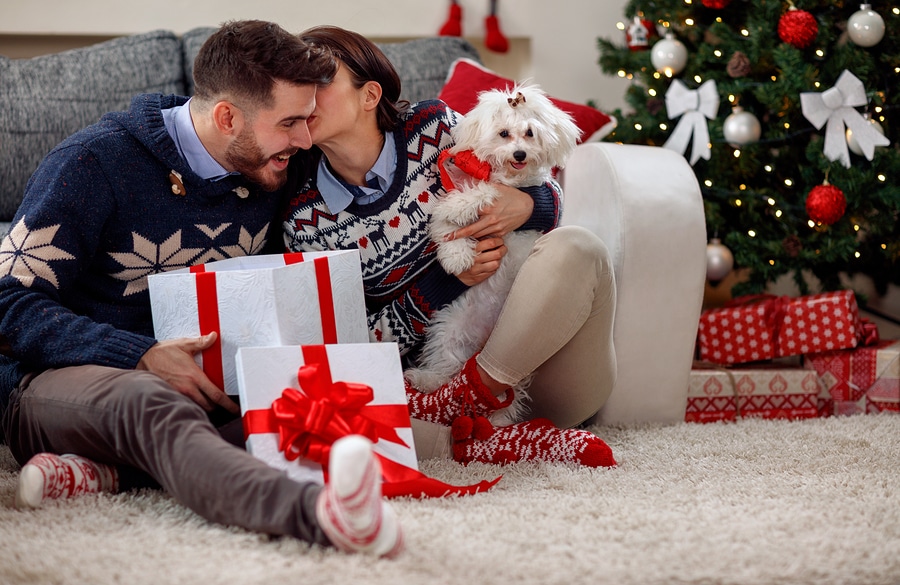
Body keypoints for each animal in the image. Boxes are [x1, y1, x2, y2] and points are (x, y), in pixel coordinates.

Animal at [402, 83, 584, 424]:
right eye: (503, 133)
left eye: (530, 133)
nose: (519, 154)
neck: (511, 180)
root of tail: (485, 342)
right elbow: (447, 226)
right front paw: (457, 254)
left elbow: (486, 192)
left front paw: (464, 206)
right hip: (450, 326)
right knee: (447, 367)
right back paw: (426, 380)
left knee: (504, 397)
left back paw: (497, 421)